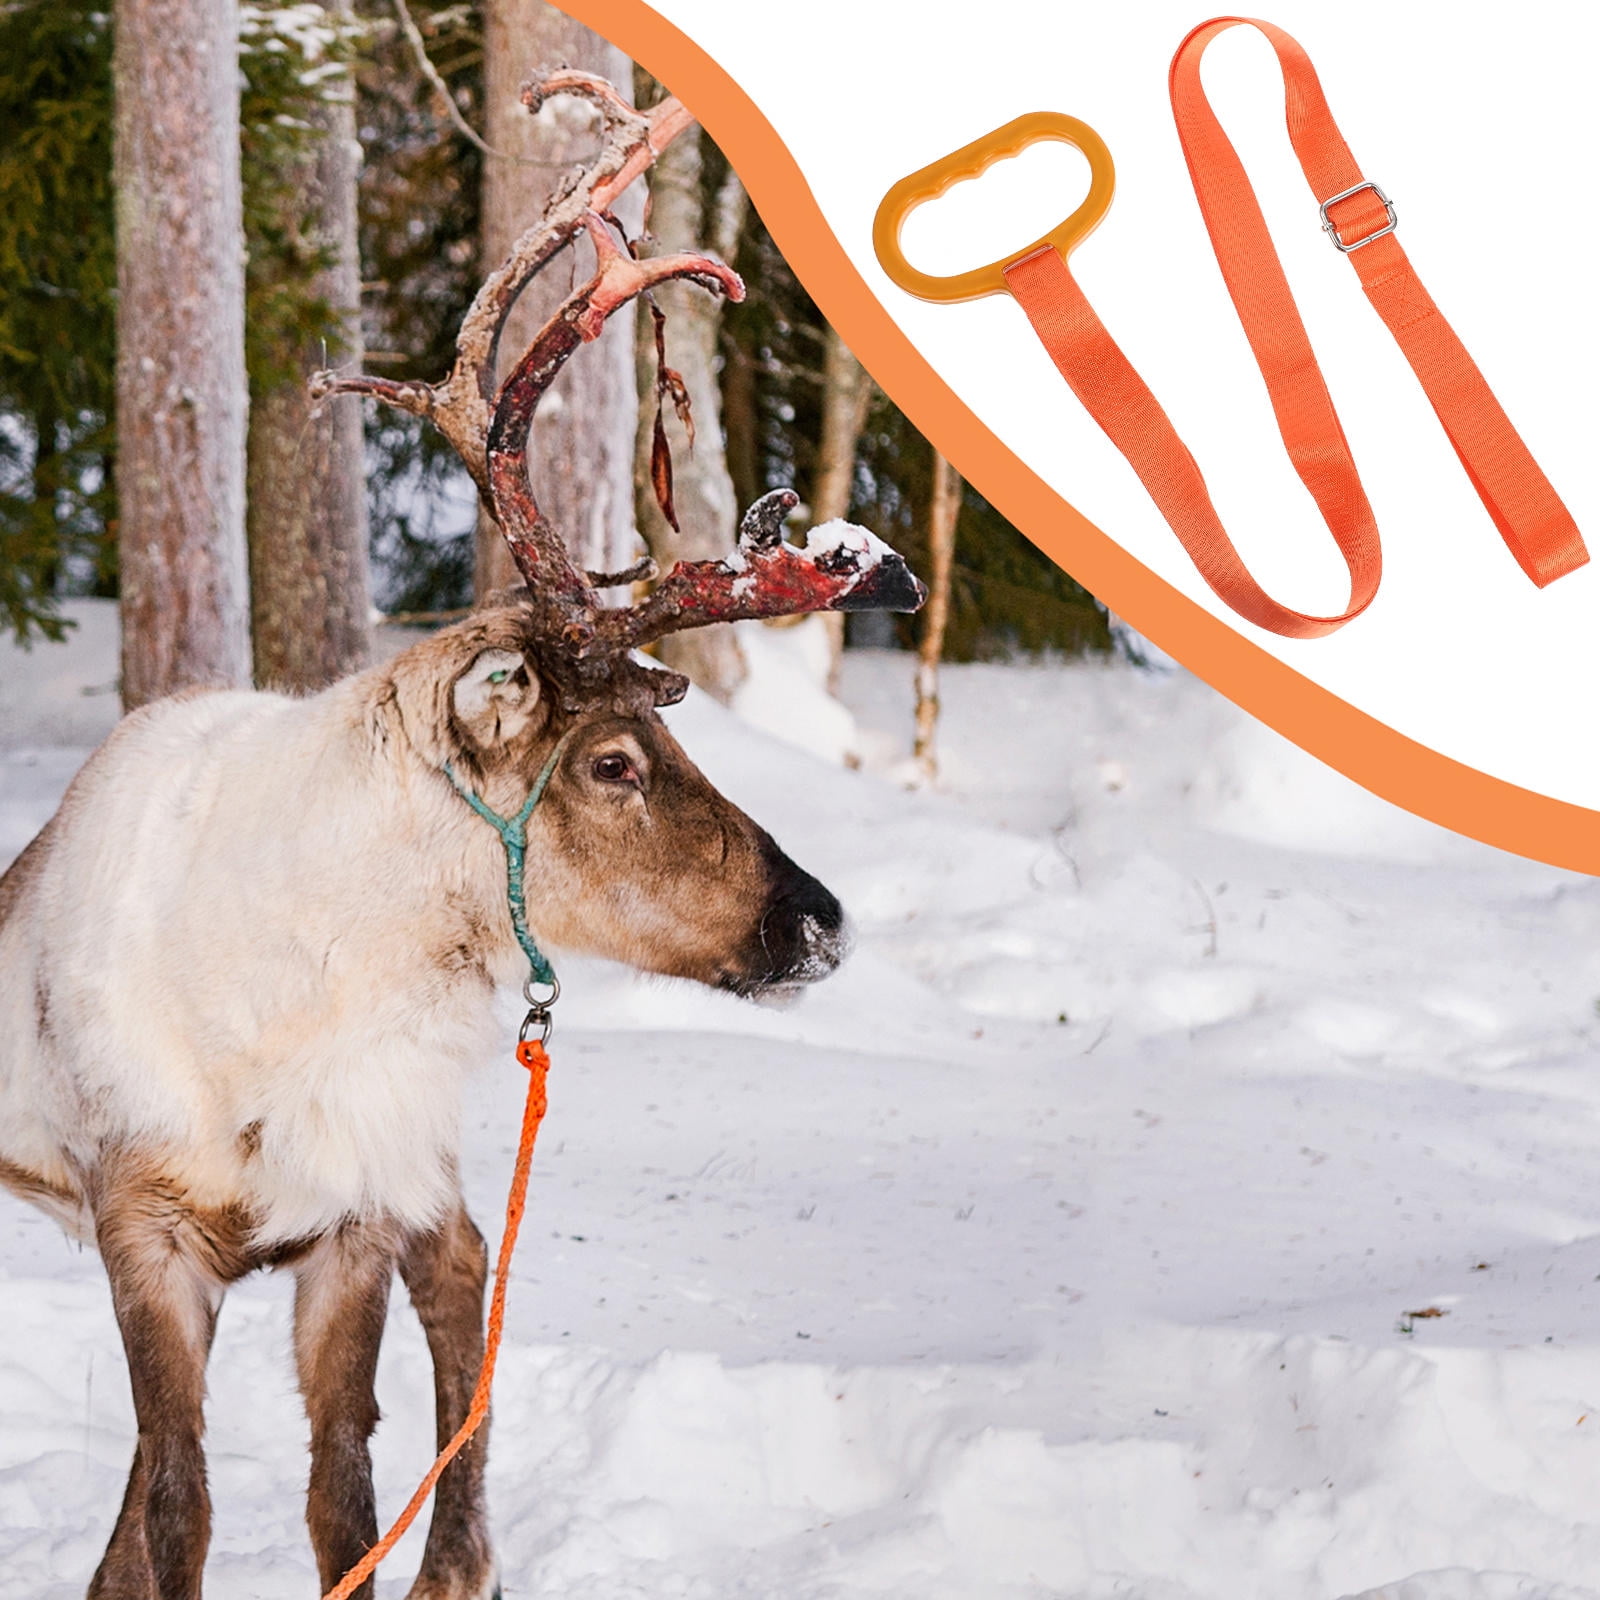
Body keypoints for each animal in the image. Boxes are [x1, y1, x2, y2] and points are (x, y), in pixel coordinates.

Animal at [0, 73, 923, 1600]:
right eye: (612, 760)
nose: (819, 917)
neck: (290, 1007)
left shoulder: (352, 1220)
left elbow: (342, 1499)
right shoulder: (144, 1228)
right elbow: (182, 1512)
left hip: (407, 1179)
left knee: (467, 1273)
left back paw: (463, 1556)